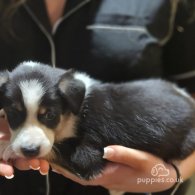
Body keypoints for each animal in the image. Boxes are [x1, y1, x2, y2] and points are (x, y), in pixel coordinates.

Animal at [0, 61, 195, 183]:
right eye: (13, 113)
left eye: (50, 115)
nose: (30, 150)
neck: (72, 113)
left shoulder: (87, 156)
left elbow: (57, 150)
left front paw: (6, 147)